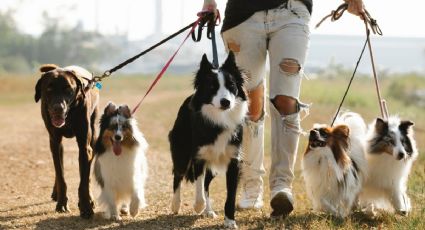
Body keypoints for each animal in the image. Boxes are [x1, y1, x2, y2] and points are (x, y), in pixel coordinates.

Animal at [34, 63, 99, 218]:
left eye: (68, 89)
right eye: (49, 89)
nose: (58, 108)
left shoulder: (84, 147)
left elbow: (84, 181)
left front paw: (86, 206)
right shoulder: (55, 142)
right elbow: (61, 176)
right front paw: (62, 203)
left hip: (93, 136)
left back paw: (90, 198)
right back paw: (56, 192)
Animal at [168, 52, 248, 228]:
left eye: (231, 85)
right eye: (212, 87)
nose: (226, 102)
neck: (219, 119)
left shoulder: (234, 160)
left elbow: (230, 196)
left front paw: (230, 221)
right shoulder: (199, 156)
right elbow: (198, 186)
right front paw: (198, 206)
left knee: (206, 183)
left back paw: (209, 210)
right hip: (182, 151)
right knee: (178, 175)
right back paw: (176, 205)